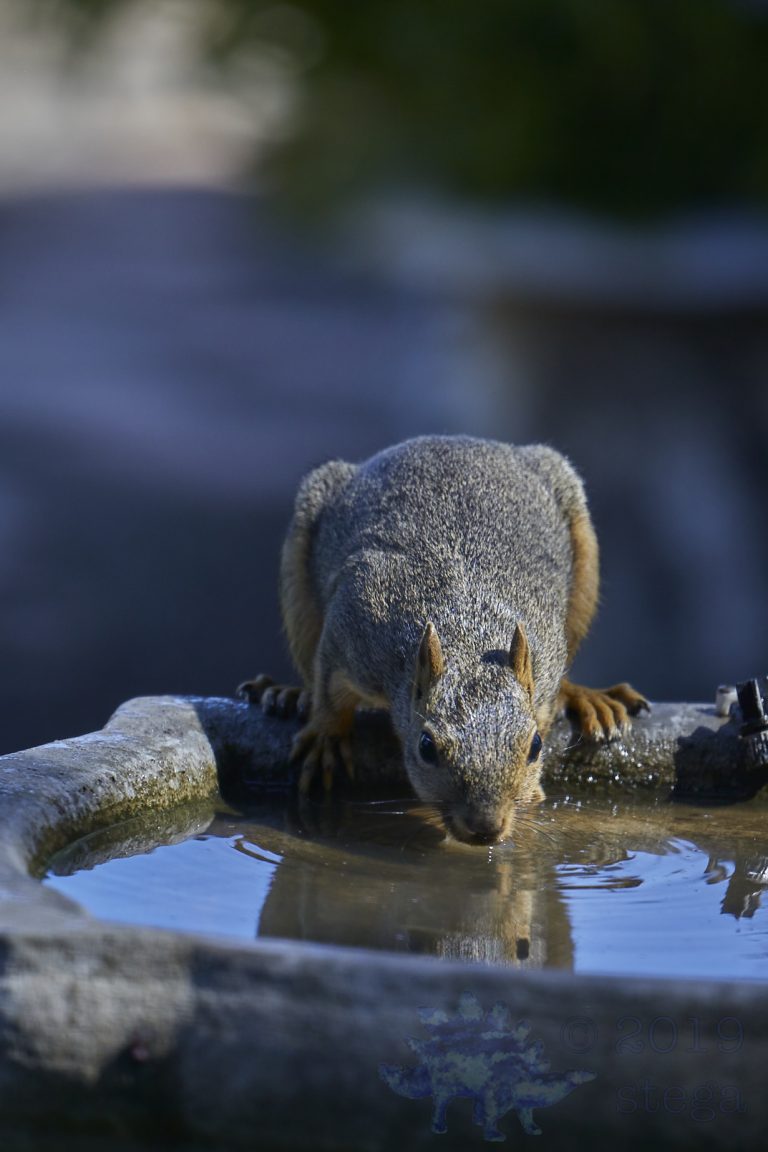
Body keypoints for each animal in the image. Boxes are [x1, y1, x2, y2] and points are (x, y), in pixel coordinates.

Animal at [241, 435, 648, 845]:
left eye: (535, 746)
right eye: (426, 747)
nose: (486, 828)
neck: (468, 632)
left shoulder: (546, 659)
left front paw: (531, 790)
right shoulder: (352, 627)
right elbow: (328, 686)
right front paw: (326, 736)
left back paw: (586, 697)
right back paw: (289, 694)